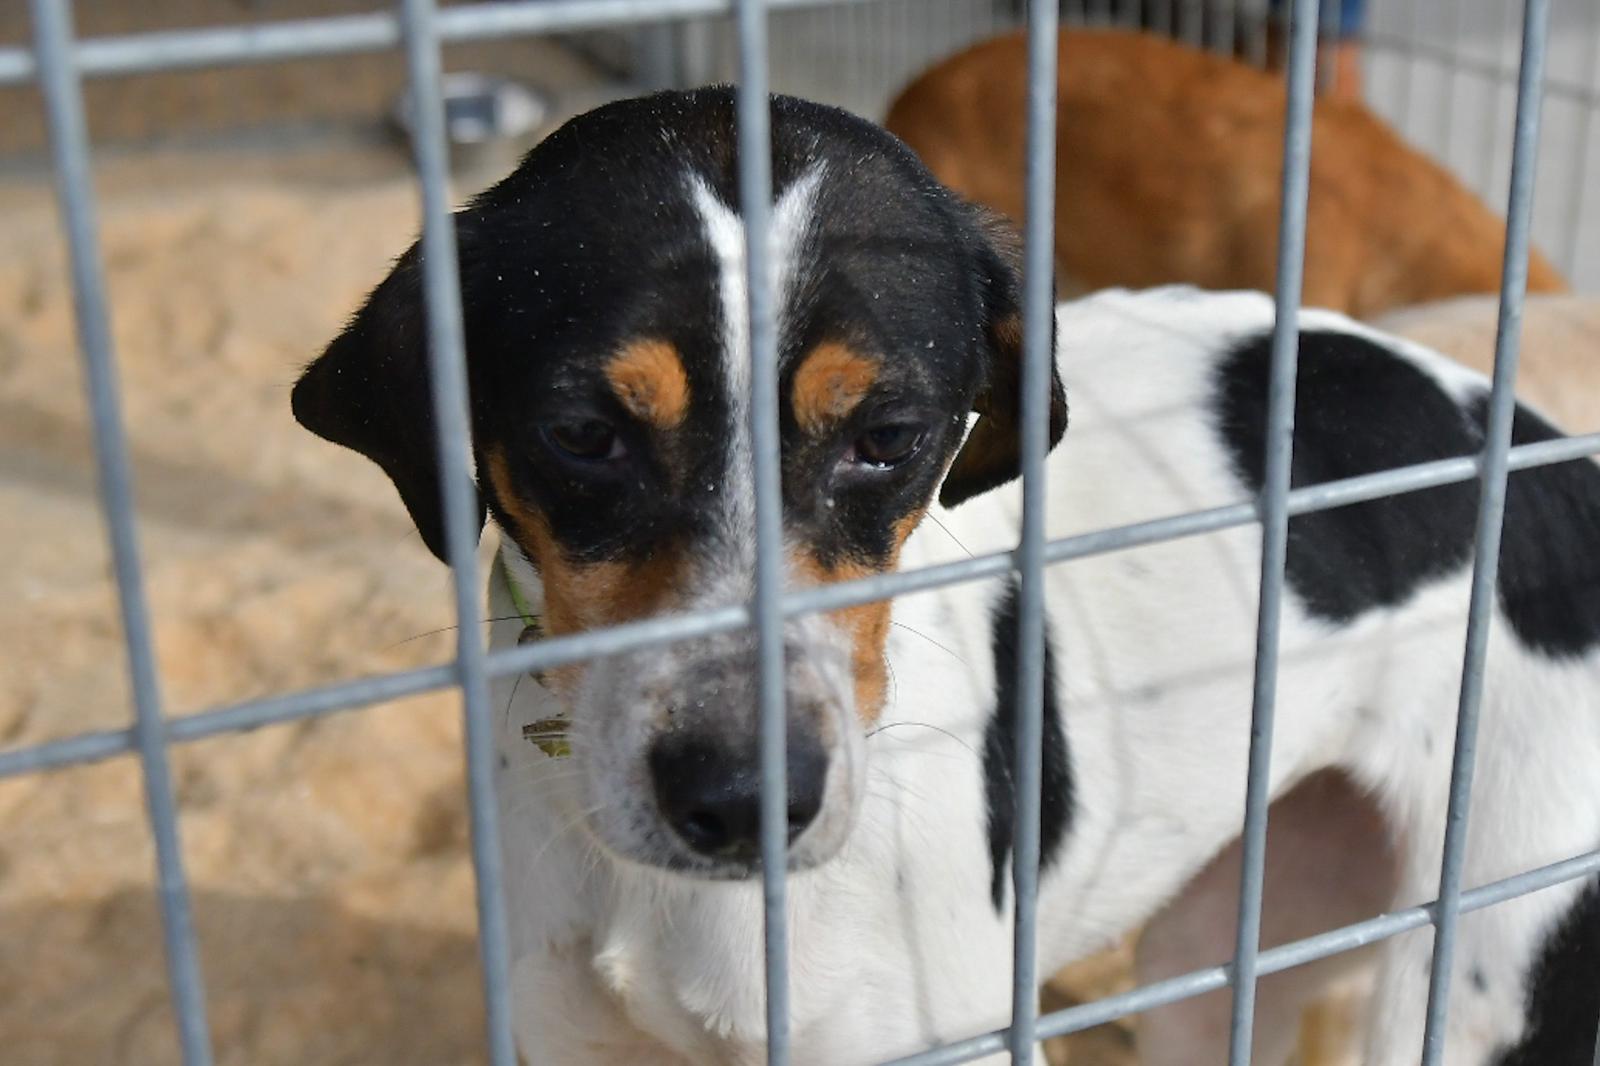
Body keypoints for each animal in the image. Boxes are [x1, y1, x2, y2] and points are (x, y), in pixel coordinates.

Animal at [291, 91, 1600, 1062]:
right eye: (580, 433)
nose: (744, 797)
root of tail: (1547, 458)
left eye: (888, 436)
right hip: (1224, 947)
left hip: (1475, 982)